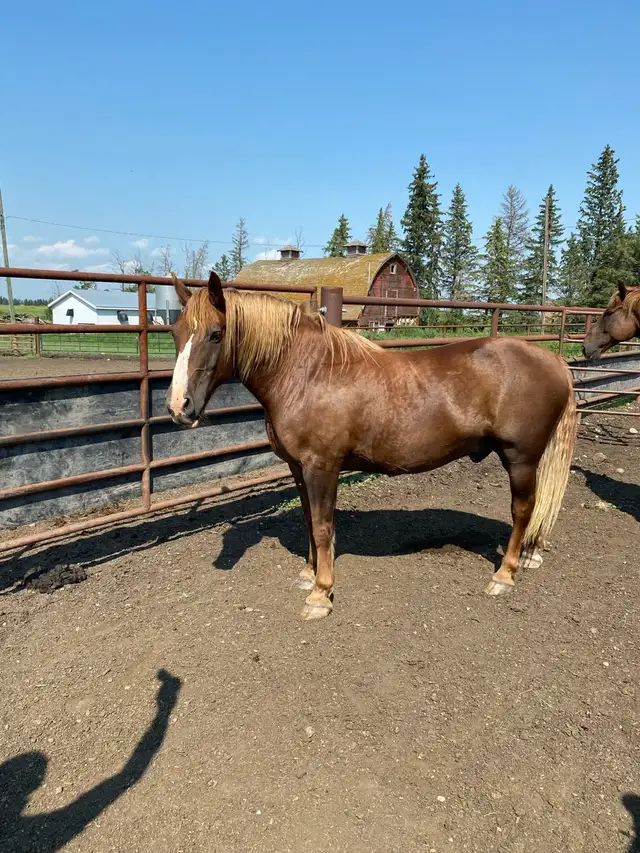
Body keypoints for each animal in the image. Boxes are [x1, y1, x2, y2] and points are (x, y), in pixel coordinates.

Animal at [166, 272, 577, 620]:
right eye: (176, 332)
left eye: (216, 334)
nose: (178, 407)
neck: (307, 373)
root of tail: (554, 359)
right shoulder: (299, 468)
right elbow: (307, 520)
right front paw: (309, 573)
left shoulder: (322, 467)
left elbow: (322, 527)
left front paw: (320, 595)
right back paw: (530, 554)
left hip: (520, 459)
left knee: (523, 509)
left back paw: (504, 575)